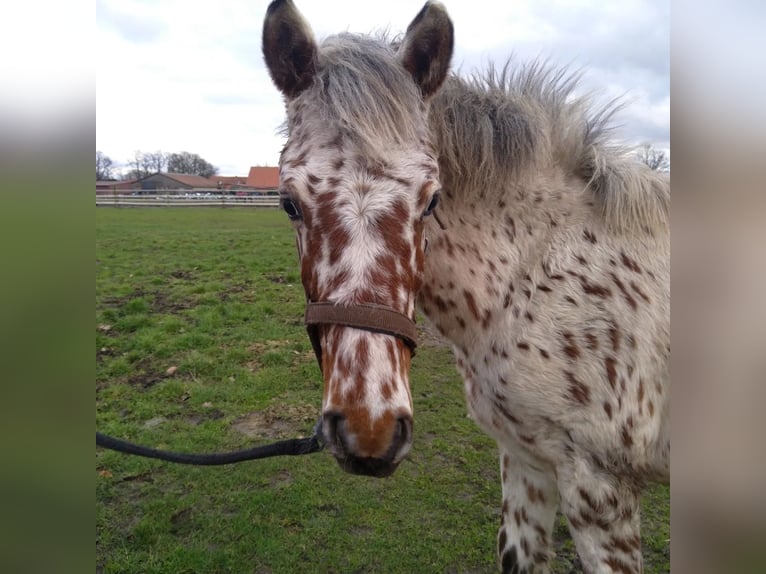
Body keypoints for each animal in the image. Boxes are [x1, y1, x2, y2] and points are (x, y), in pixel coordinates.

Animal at [264, 2, 672, 572]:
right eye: (288, 202)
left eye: (432, 200)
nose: (370, 432)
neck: (532, 278)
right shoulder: (526, 460)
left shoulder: (600, 487)